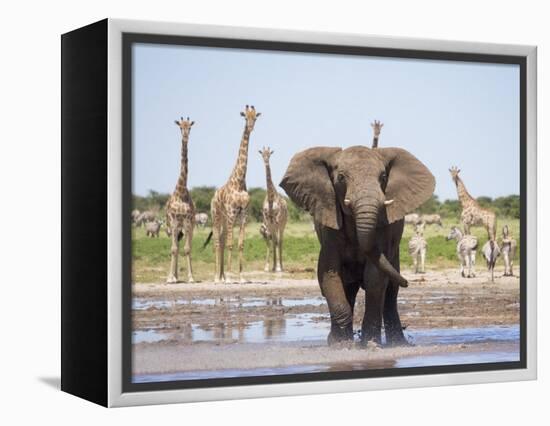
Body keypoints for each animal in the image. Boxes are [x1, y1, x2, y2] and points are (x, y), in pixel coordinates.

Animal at [211, 104, 264, 282]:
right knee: (217, 242)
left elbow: (240, 244)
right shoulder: (232, 213)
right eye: (245, 117)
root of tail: (213, 198)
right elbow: (231, 244)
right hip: (216, 216)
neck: (239, 182)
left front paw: (241, 276)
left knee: (221, 240)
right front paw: (229, 275)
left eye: (255, 117)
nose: (251, 127)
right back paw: (217, 277)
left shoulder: (243, 214)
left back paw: (220, 276)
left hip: (224, 219)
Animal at [282, 146, 438, 346]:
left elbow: (375, 277)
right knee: (349, 287)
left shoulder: (383, 227)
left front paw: (370, 345)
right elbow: (329, 273)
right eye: (341, 177)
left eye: (383, 177)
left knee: (390, 292)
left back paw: (397, 344)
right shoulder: (329, 226)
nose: (408, 282)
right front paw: (340, 345)